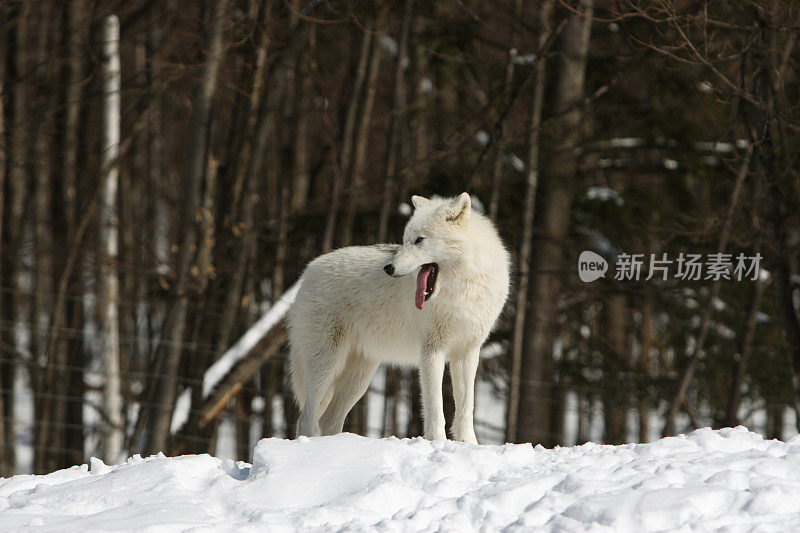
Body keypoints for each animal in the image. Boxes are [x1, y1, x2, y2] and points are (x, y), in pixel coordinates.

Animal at [290, 193, 510, 442]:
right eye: (405, 240)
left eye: (419, 240)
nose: (389, 268)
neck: (461, 289)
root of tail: (307, 272)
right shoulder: (431, 350)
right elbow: (435, 409)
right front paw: (437, 442)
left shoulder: (468, 352)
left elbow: (465, 410)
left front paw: (468, 444)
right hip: (326, 364)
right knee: (306, 419)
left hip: (360, 375)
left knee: (328, 420)